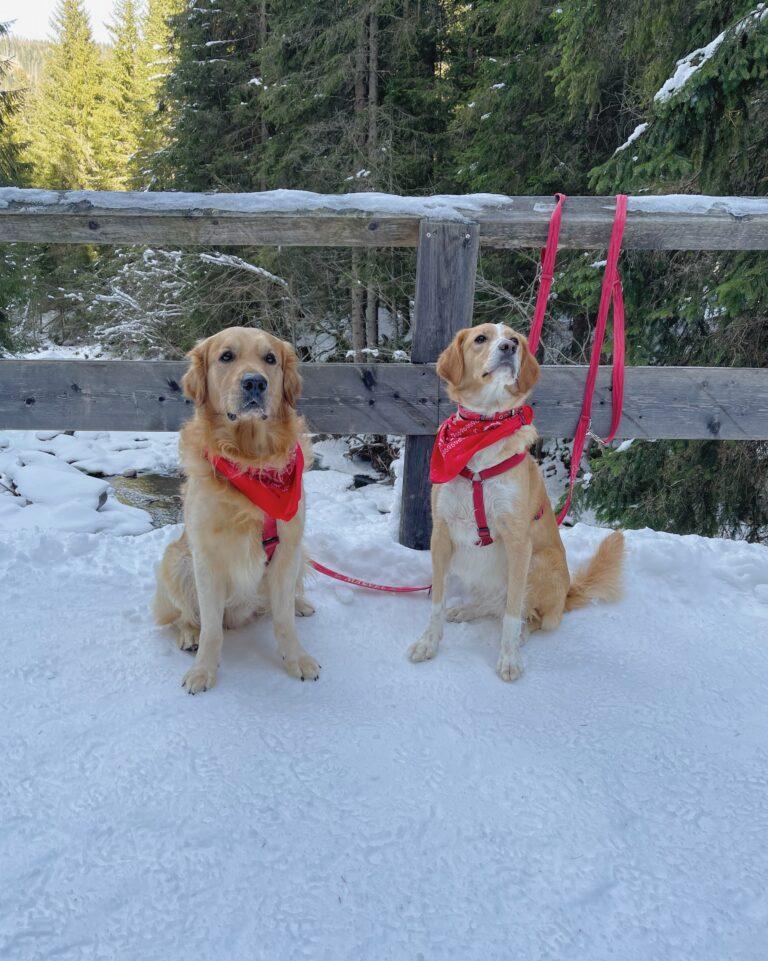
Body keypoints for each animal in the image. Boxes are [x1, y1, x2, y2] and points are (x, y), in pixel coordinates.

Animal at [153, 326, 318, 692]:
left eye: (270, 358)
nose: (255, 383)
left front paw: (296, 658)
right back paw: (189, 636)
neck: (250, 460)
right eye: (226, 356)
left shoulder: (287, 549)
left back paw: (300, 604)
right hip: (176, 560)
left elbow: (283, 620)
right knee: (184, 615)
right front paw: (203, 670)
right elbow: (211, 628)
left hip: (302, 551)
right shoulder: (206, 558)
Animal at [408, 322, 624, 684]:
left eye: (515, 340)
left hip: (539, 562)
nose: (508, 348)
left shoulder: (518, 541)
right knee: (495, 603)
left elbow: (511, 614)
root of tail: (566, 596)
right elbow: (436, 602)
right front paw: (429, 642)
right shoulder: (442, 534)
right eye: (481, 338)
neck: (481, 431)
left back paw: (521, 634)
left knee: (526, 613)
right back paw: (467, 609)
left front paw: (509, 658)